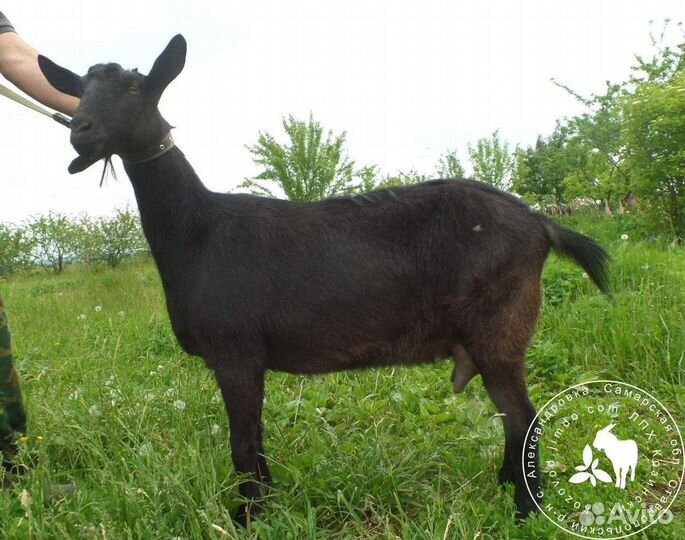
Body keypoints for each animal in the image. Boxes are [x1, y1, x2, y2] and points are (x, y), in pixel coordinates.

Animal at [38, 35, 610, 525]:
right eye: (80, 90)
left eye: (135, 88)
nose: (80, 130)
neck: (199, 231)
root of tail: (541, 224)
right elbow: (255, 438)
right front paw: (265, 503)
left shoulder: (235, 352)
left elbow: (242, 440)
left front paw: (247, 515)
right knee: (514, 418)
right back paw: (506, 487)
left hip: (501, 324)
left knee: (524, 416)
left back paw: (525, 510)